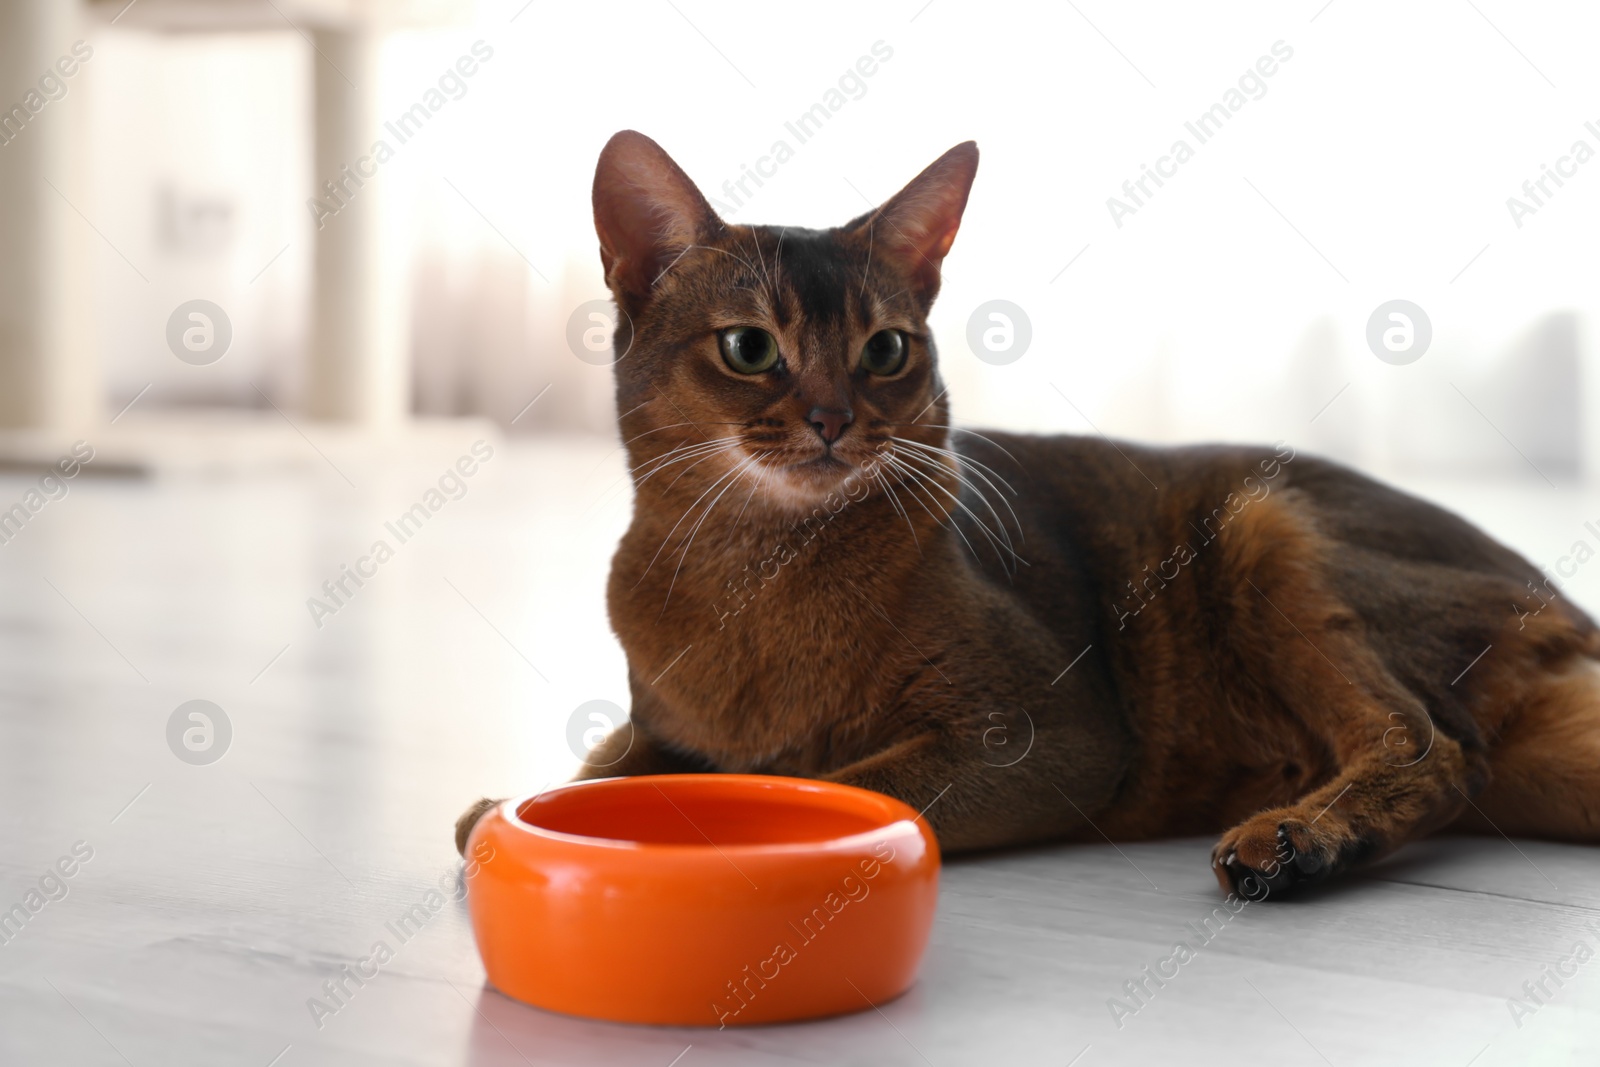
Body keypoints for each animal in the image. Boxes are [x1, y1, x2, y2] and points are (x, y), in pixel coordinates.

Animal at [454, 131, 1600, 902]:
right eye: (749, 348)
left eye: (885, 349)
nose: (833, 418)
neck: (760, 570)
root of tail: (1556, 598)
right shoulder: (656, 722)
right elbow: (602, 762)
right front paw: (501, 808)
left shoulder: (1046, 736)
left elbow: (828, 778)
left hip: (1260, 523)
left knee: (1433, 747)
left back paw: (1298, 842)